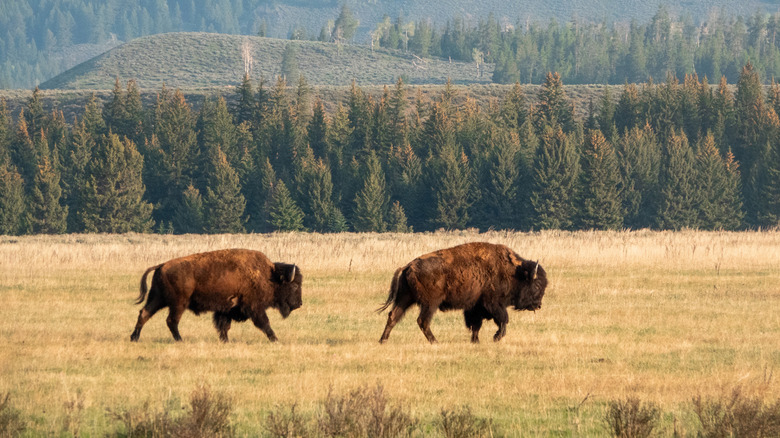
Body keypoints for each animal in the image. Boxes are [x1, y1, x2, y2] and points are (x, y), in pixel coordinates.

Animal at [130, 249, 302, 343]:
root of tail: (161, 265)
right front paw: (275, 339)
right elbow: (264, 323)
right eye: (294, 285)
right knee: (171, 321)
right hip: (178, 303)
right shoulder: (254, 307)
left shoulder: (226, 309)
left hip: (157, 299)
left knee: (144, 313)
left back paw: (134, 338)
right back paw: (180, 340)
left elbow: (223, 326)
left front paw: (225, 341)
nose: (299, 304)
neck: (269, 275)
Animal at [377, 242, 547, 343]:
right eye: (537, 285)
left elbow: (476, 325)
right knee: (422, 321)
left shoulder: (475, 307)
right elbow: (503, 319)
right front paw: (496, 337)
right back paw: (435, 342)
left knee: (393, 316)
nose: (538, 305)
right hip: (430, 303)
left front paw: (475, 341)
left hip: (405, 298)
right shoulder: (493, 304)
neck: (514, 272)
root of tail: (408, 266)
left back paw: (383, 340)